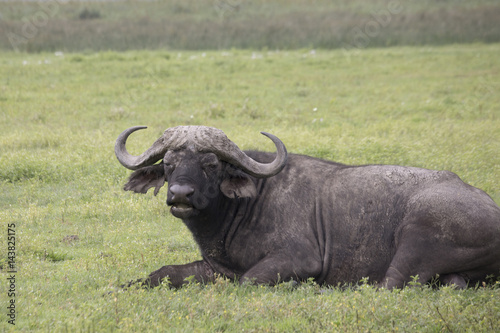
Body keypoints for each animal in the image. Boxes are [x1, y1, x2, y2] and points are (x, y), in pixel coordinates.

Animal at [114, 125, 500, 288]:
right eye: (168, 164)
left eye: (210, 164)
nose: (180, 194)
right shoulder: (216, 267)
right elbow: (162, 273)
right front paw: (125, 285)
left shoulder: (299, 259)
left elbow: (248, 281)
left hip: (415, 239)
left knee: (389, 284)